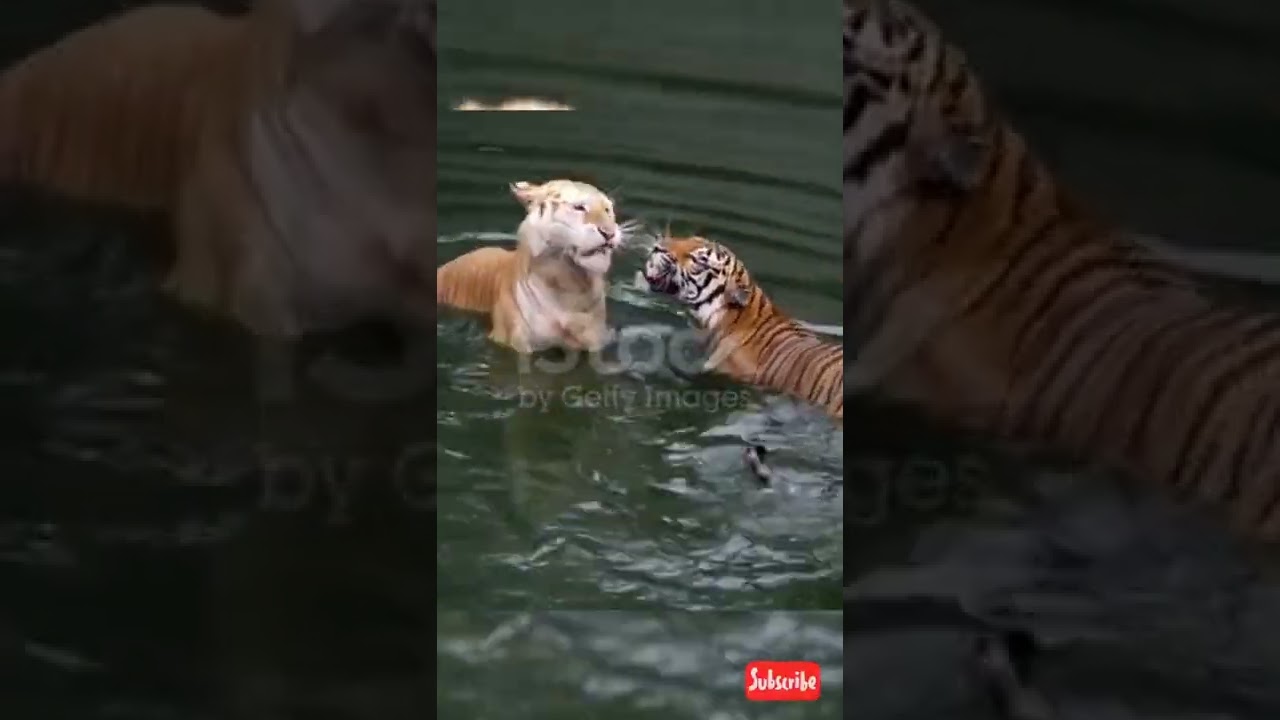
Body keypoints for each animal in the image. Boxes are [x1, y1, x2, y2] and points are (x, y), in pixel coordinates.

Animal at [436, 179, 629, 354]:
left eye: (607, 210)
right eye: (579, 207)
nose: (609, 233)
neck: (568, 285)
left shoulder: (596, 339)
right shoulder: (517, 341)